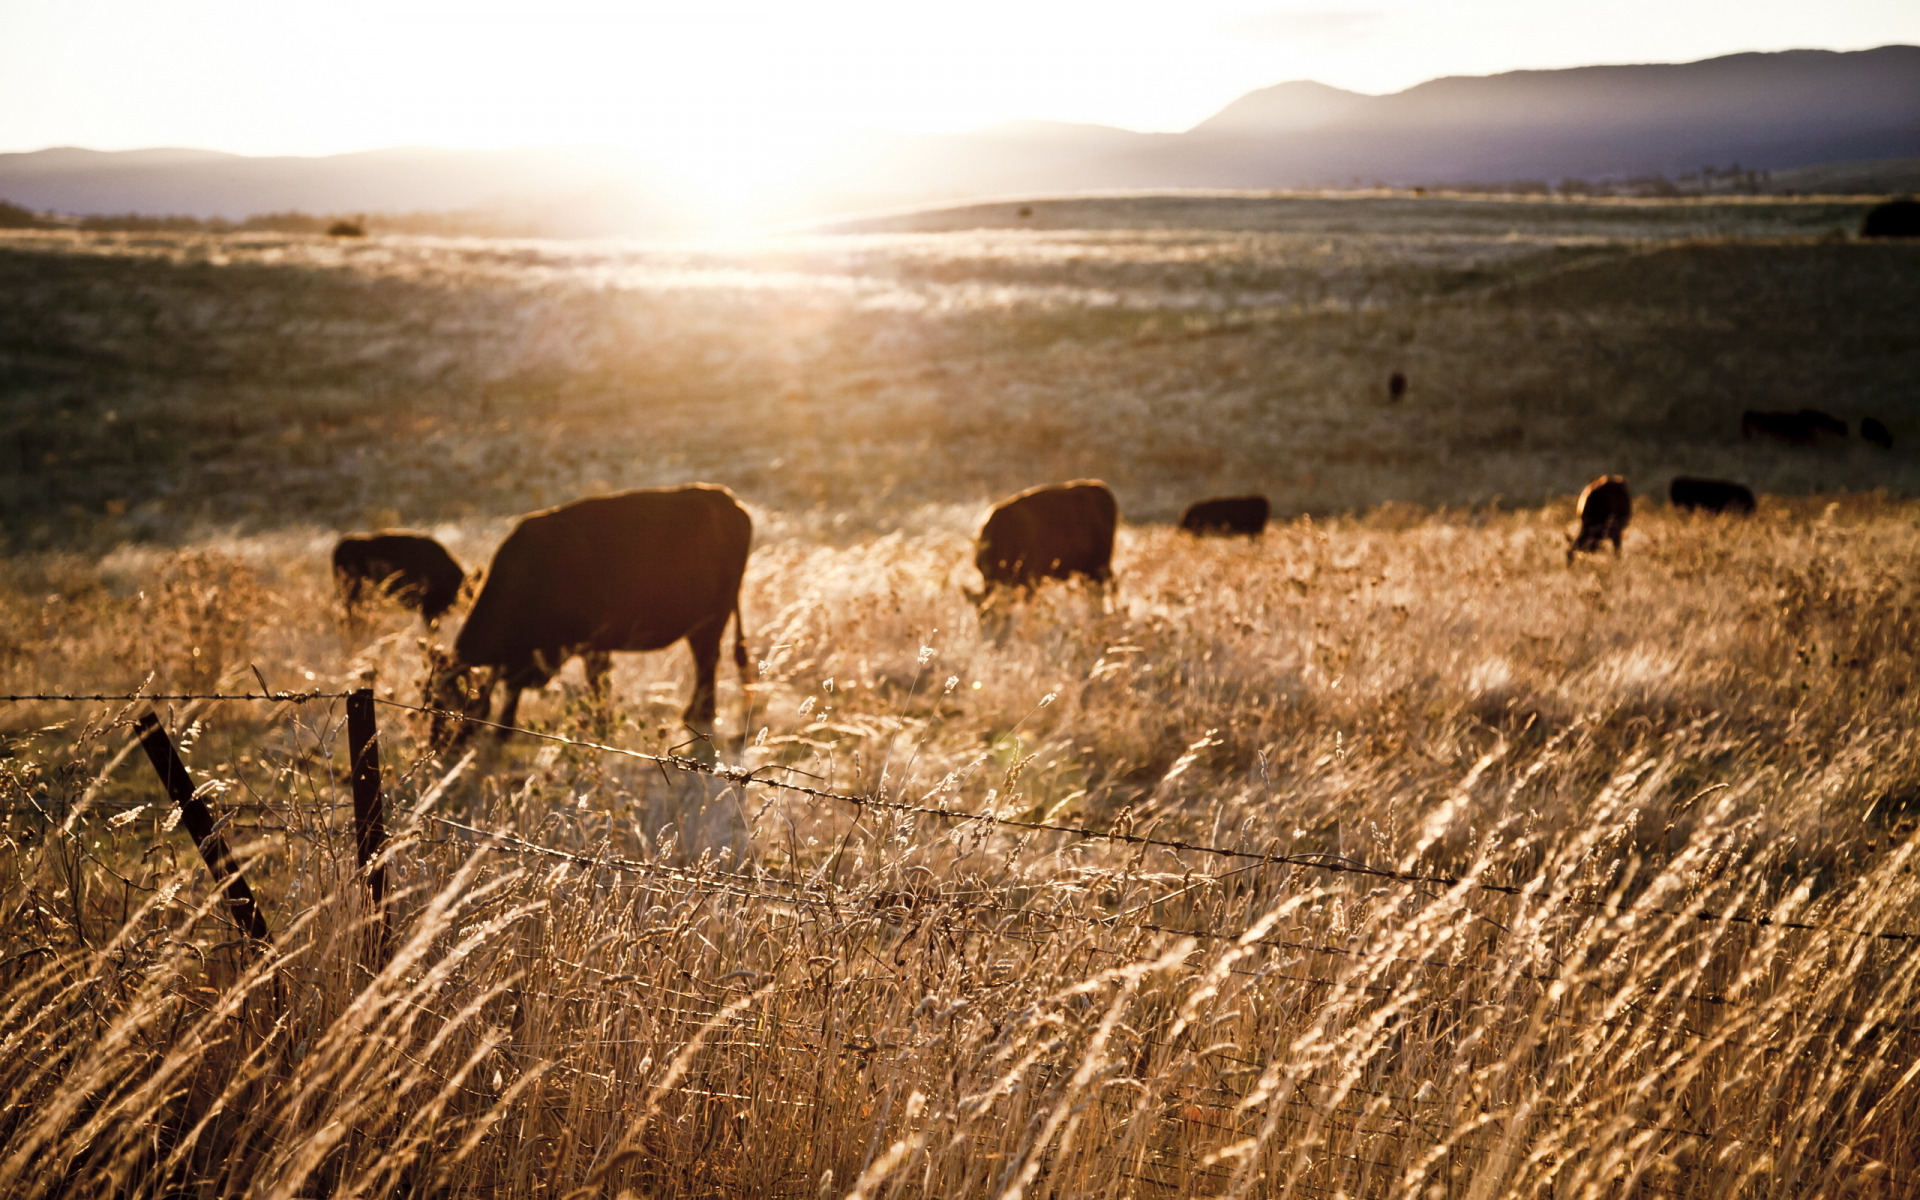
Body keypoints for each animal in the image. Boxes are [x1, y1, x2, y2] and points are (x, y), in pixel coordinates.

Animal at [428, 487, 748, 741]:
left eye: (451, 704)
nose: (437, 744)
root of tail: (726, 499)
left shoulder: (593, 646)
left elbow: (597, 688)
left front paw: (603, 728)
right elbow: (512, 689)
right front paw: (503, 733)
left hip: (710, 622)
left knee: (706, 664)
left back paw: (699, 717)